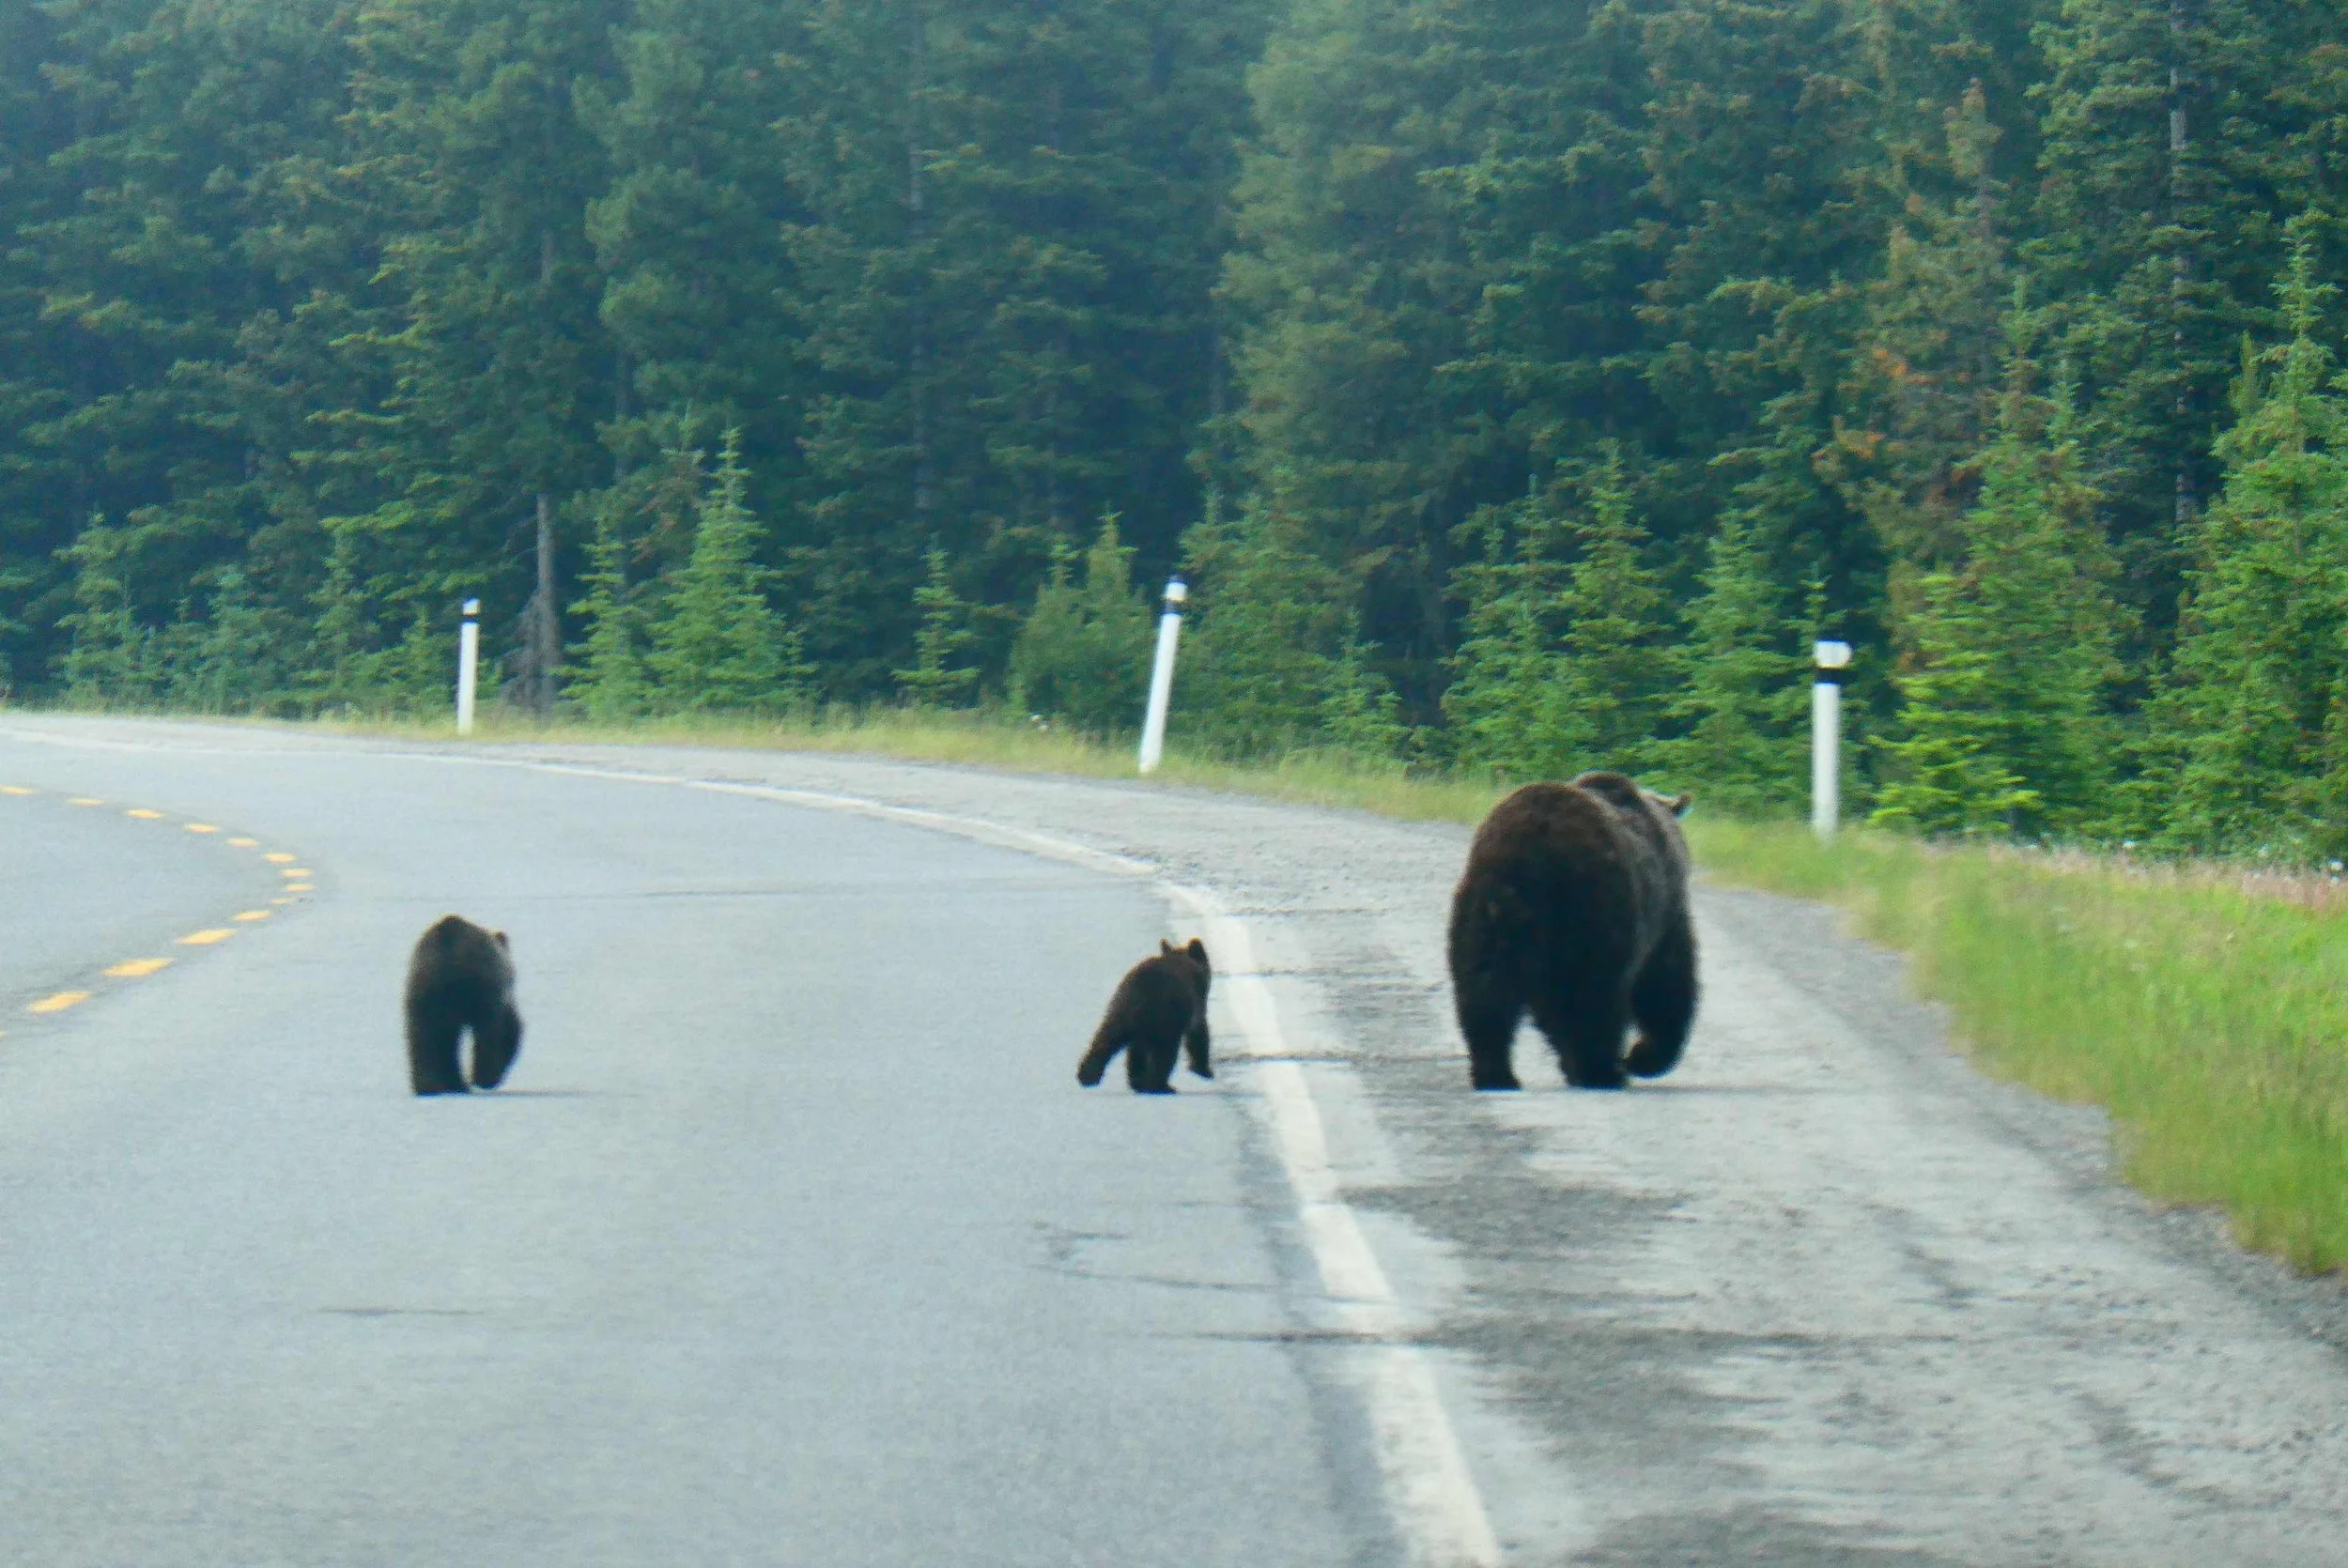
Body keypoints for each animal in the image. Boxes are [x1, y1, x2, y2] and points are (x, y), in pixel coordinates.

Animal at [404, 914, 523, 1096]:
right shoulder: (498, 998)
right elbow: (507, 1029)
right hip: (478, 988)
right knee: (485, 1032)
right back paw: (481, 1079)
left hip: (423, 989)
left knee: (422, 1036)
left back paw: (430, 1086)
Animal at [1076, 938, 1212, 1095]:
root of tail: (1140, 991)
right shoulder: (1195, 1003)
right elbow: (1198, 1032)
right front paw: (1204, 1070)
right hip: (1165, 1016)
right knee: (1165, 1052)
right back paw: (1160, 1085)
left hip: (1119, 1011)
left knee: (1106, 1040)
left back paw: (1088, 1076)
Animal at [1446, 771, 1696, 1090]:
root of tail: (1533, 841)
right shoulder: (1664, 912)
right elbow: (1666, 980)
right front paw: (1645, 1056)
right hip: (1597, 905)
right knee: (1595, 992)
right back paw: (1603, 1070)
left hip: (1486, 906)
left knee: (1483, 988)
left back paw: (1496, 1073)